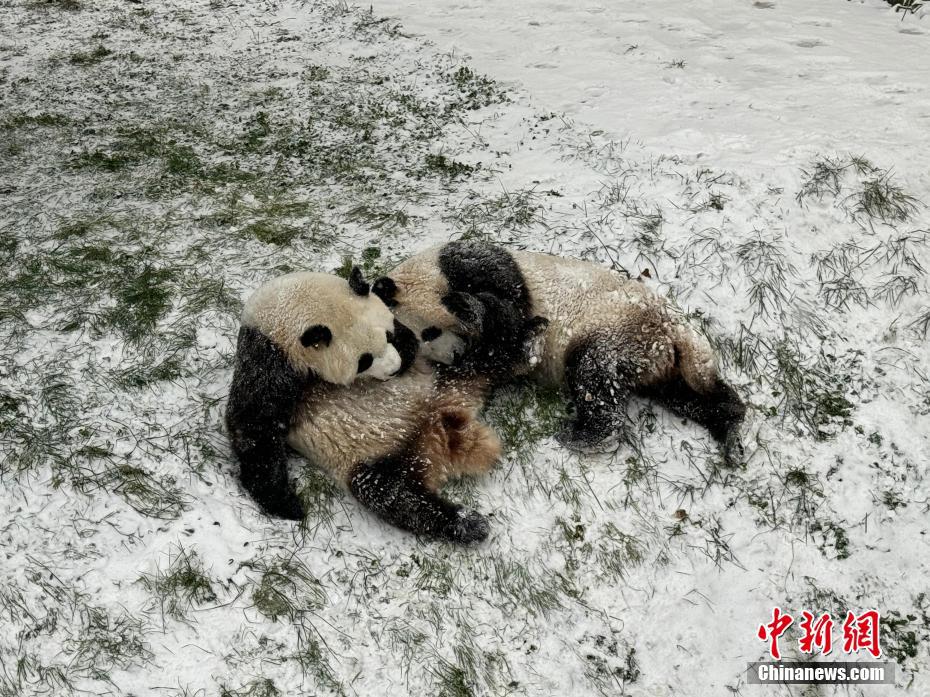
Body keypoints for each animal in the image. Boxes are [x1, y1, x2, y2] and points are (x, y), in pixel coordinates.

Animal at [225, 266, 539, 543]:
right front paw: (286, 504)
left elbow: (411, 339)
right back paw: (465, 523)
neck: (294, 306)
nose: (394, 369)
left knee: (489, 356)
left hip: (445, 375)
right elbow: (254, 423)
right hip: (375, 458)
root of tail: (437, 424)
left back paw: (514, 334)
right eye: (364, 360)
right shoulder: (269, 353)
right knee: (393, 495)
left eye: (389, 335)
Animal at [372, 241, 746, 461]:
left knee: (592, 372)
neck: (427, 274)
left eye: (429, 332)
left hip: (617, 326)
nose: (455, 356)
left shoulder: (473, 265)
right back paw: (729, 426)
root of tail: (672, 330)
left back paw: (582, 434)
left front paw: (469, 310)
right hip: (652, 357)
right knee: (685, 393)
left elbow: (506, 308)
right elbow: (502, 352)